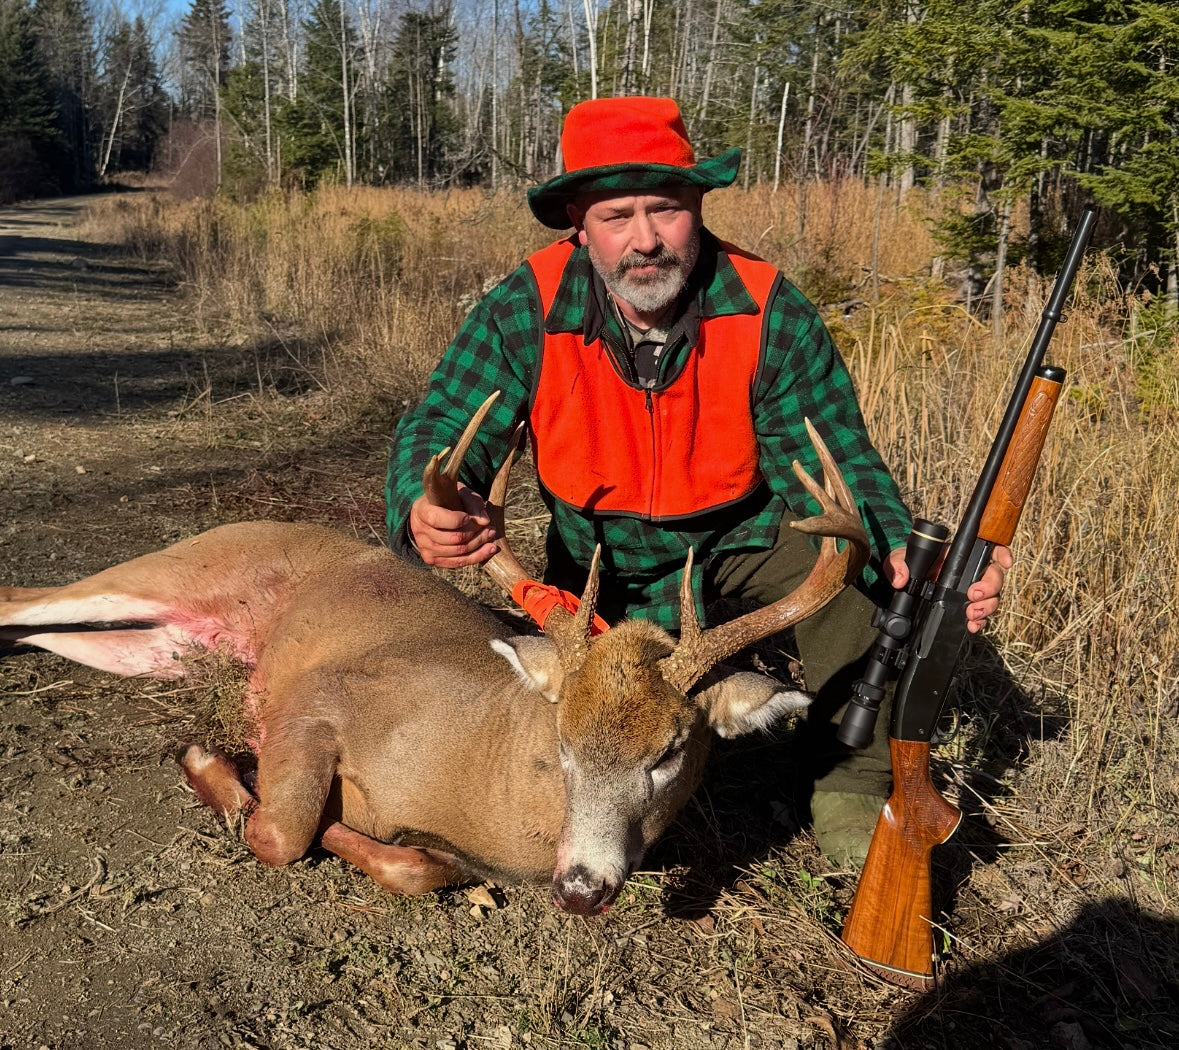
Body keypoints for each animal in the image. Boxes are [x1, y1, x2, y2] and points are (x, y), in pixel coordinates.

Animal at [0, 395, 869, 915]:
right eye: (561, 743)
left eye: (670, 751)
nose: (581, 887)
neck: (481, 769)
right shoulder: (322, 697)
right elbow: (281, 834)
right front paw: (221, 768)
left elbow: (418, 865)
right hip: (184, 567)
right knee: (20, 598)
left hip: (162, 644)